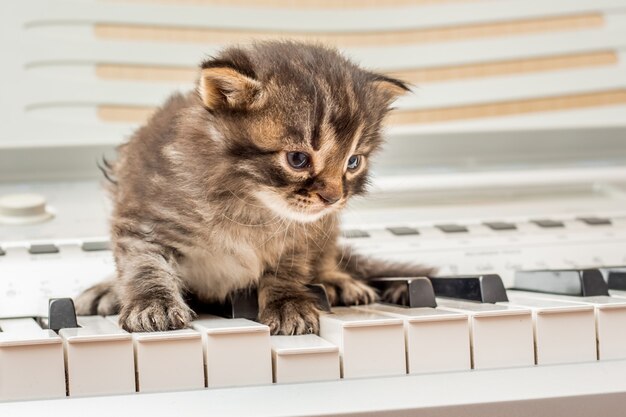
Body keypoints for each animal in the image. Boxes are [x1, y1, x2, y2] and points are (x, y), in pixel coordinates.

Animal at [75, 41, 432, 334]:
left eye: (354, 162)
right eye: (298, 159)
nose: (333, 198)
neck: (250, 204)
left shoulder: (303, 235)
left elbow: (287, 270)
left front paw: (288, 304)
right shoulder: (144, 213)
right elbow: (144, 265)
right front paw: (153, 305)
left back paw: (336, 280)